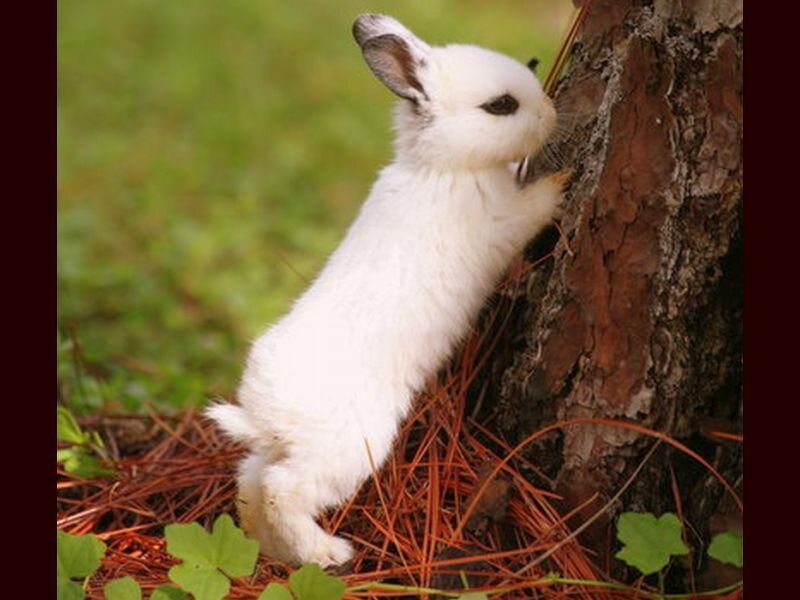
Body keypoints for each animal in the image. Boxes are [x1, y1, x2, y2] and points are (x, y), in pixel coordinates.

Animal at [205, 13, 569, 568]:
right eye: (501, 105)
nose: (551, 113)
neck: (444, 169)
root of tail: (261, 415)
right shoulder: (505, 220)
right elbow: (536, 207)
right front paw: (565, 179)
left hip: (282, 454)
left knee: (252, 485)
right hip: (349, 449)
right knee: (282, 492)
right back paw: (329, 553)